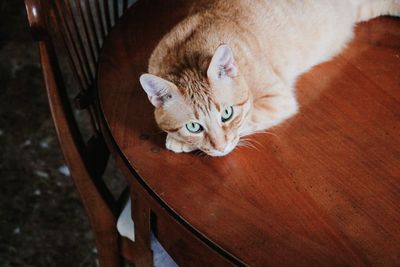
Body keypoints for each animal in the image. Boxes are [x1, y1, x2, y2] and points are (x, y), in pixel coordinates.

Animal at [139, 0, 398, 157]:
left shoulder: (278, 100)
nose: (221, 148)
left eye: (227, 114)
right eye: (193, 126)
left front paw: (179, 142)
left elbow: (247, 120)